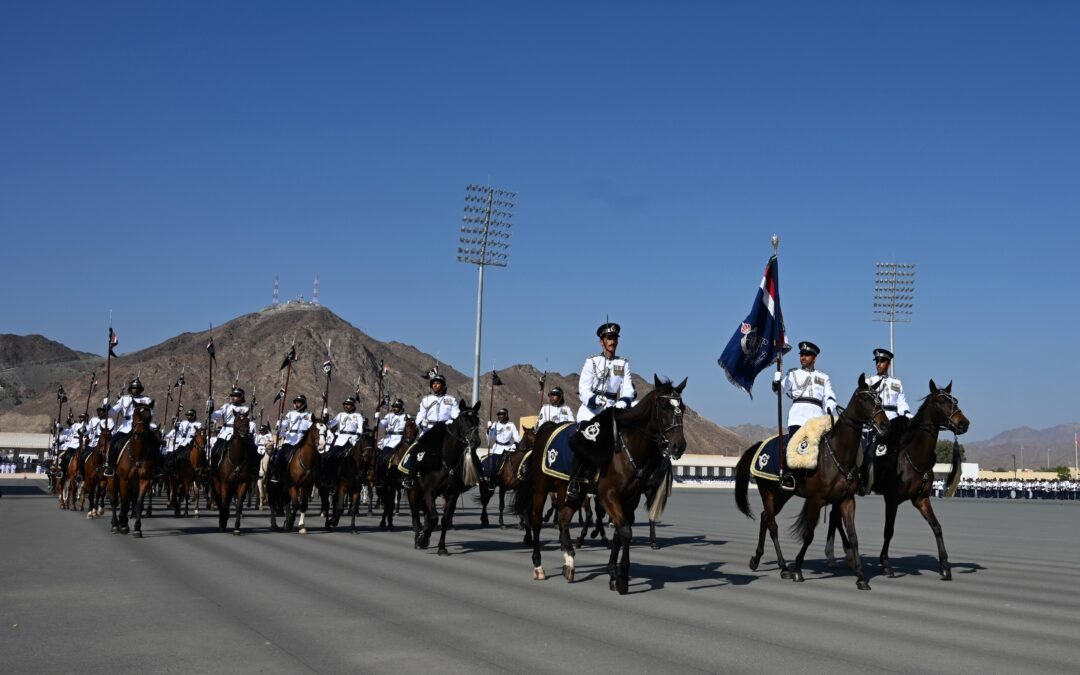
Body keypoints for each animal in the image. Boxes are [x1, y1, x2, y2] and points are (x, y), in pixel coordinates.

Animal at [109, 406, 160, 537]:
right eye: (134, 415)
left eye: (148, 417)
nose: (139, 433)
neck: (137, 455)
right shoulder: (124, 479)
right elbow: (124, 502)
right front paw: (123, 525)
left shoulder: (144, 480)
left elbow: (138, 502)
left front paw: (137, 528)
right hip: (112, 479)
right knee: (114, 500)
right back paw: (115, 524)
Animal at [406, 399, 483, 552]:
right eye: (463, 420)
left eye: (477, 420)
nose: (475, 441)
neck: (446, 461)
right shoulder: (429, 491)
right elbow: (434, 518)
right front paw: (423, 539)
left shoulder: (452, 494)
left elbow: (445, 519)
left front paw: (441, 547)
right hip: (413, 491)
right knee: (415, 514)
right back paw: (418, 539)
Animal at [511, 375, 682, 591]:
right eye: (664, 407)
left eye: (682, 408)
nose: (679, 445)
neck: (625, 449)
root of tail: (547, 428)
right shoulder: (608, 495)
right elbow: (624, 530)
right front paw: (622, 577)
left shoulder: (630, 499)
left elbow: (620, 531)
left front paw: (613, 573)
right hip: (542, 487)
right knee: (536, 521)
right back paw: (538, 566)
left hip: (570, 491)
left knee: (563, 519)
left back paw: (569, 563)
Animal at [734, 373, 894, 587]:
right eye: (864, 399)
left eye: (880, 399)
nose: (885, 425)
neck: (837, 454)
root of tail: (760, 445)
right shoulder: (816, 500)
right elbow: (808, 535)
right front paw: (798, 570)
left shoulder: (846, 500)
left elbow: (853, 537)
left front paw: (861, 577)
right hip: (767, 491)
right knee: (772, 524)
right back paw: (784, 567)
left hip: (782, 495)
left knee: (764, 518)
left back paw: (756, 559)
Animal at [820, 382, 976, 574]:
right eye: (940, 401)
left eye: (955, 400)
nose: (963, 423)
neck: (911, 455)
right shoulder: (892, 499)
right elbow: (889, 530)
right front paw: (885, 562)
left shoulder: (921, 498)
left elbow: (936, 526)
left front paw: (945, 564)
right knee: (835, 517)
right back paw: (842, 554)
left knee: (834, 517)